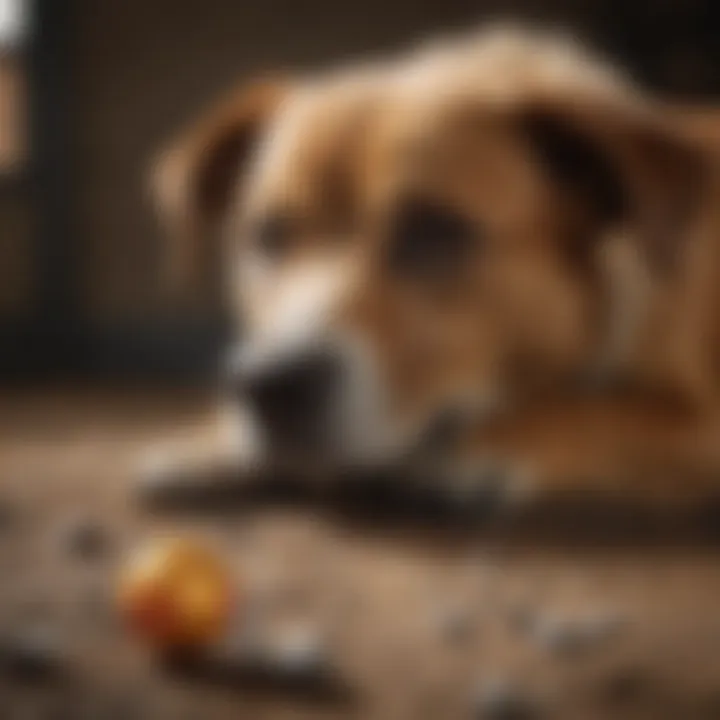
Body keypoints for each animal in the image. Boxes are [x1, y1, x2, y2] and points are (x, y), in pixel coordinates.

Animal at [143, 26, 720, 506]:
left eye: (434, 230)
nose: (272, 386)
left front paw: (482, 445)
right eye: (268, 235)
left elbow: (601, 411)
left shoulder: (697, 417)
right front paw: (210, 438)